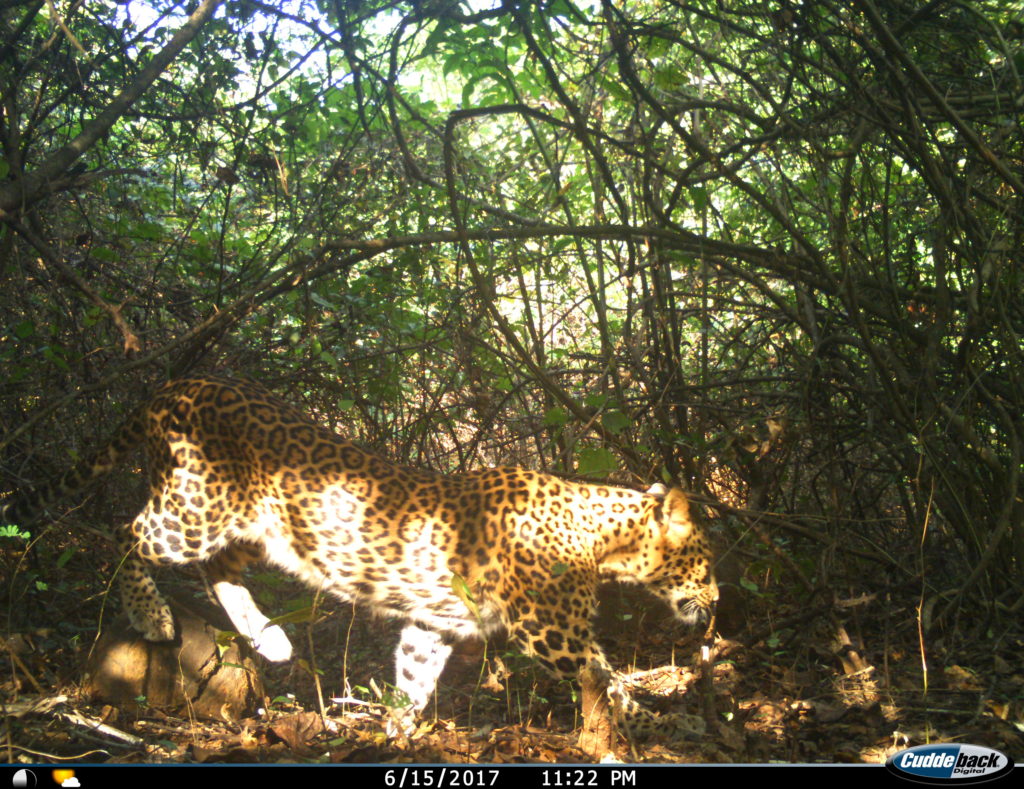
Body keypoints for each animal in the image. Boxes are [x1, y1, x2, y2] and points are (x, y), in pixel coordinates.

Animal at [2, 376, 720, 740]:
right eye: (705, 561)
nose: (716, 604)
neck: (599, 534)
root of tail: (177, 383)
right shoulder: (552, 629)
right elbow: (605, 673)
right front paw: (654, 718)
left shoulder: (435, 622)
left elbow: (414, 676)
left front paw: (391, 726)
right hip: (194, 510)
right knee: (129, 529)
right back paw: (150, 614)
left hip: (253, 527)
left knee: (220, 572)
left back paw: (271, 642)